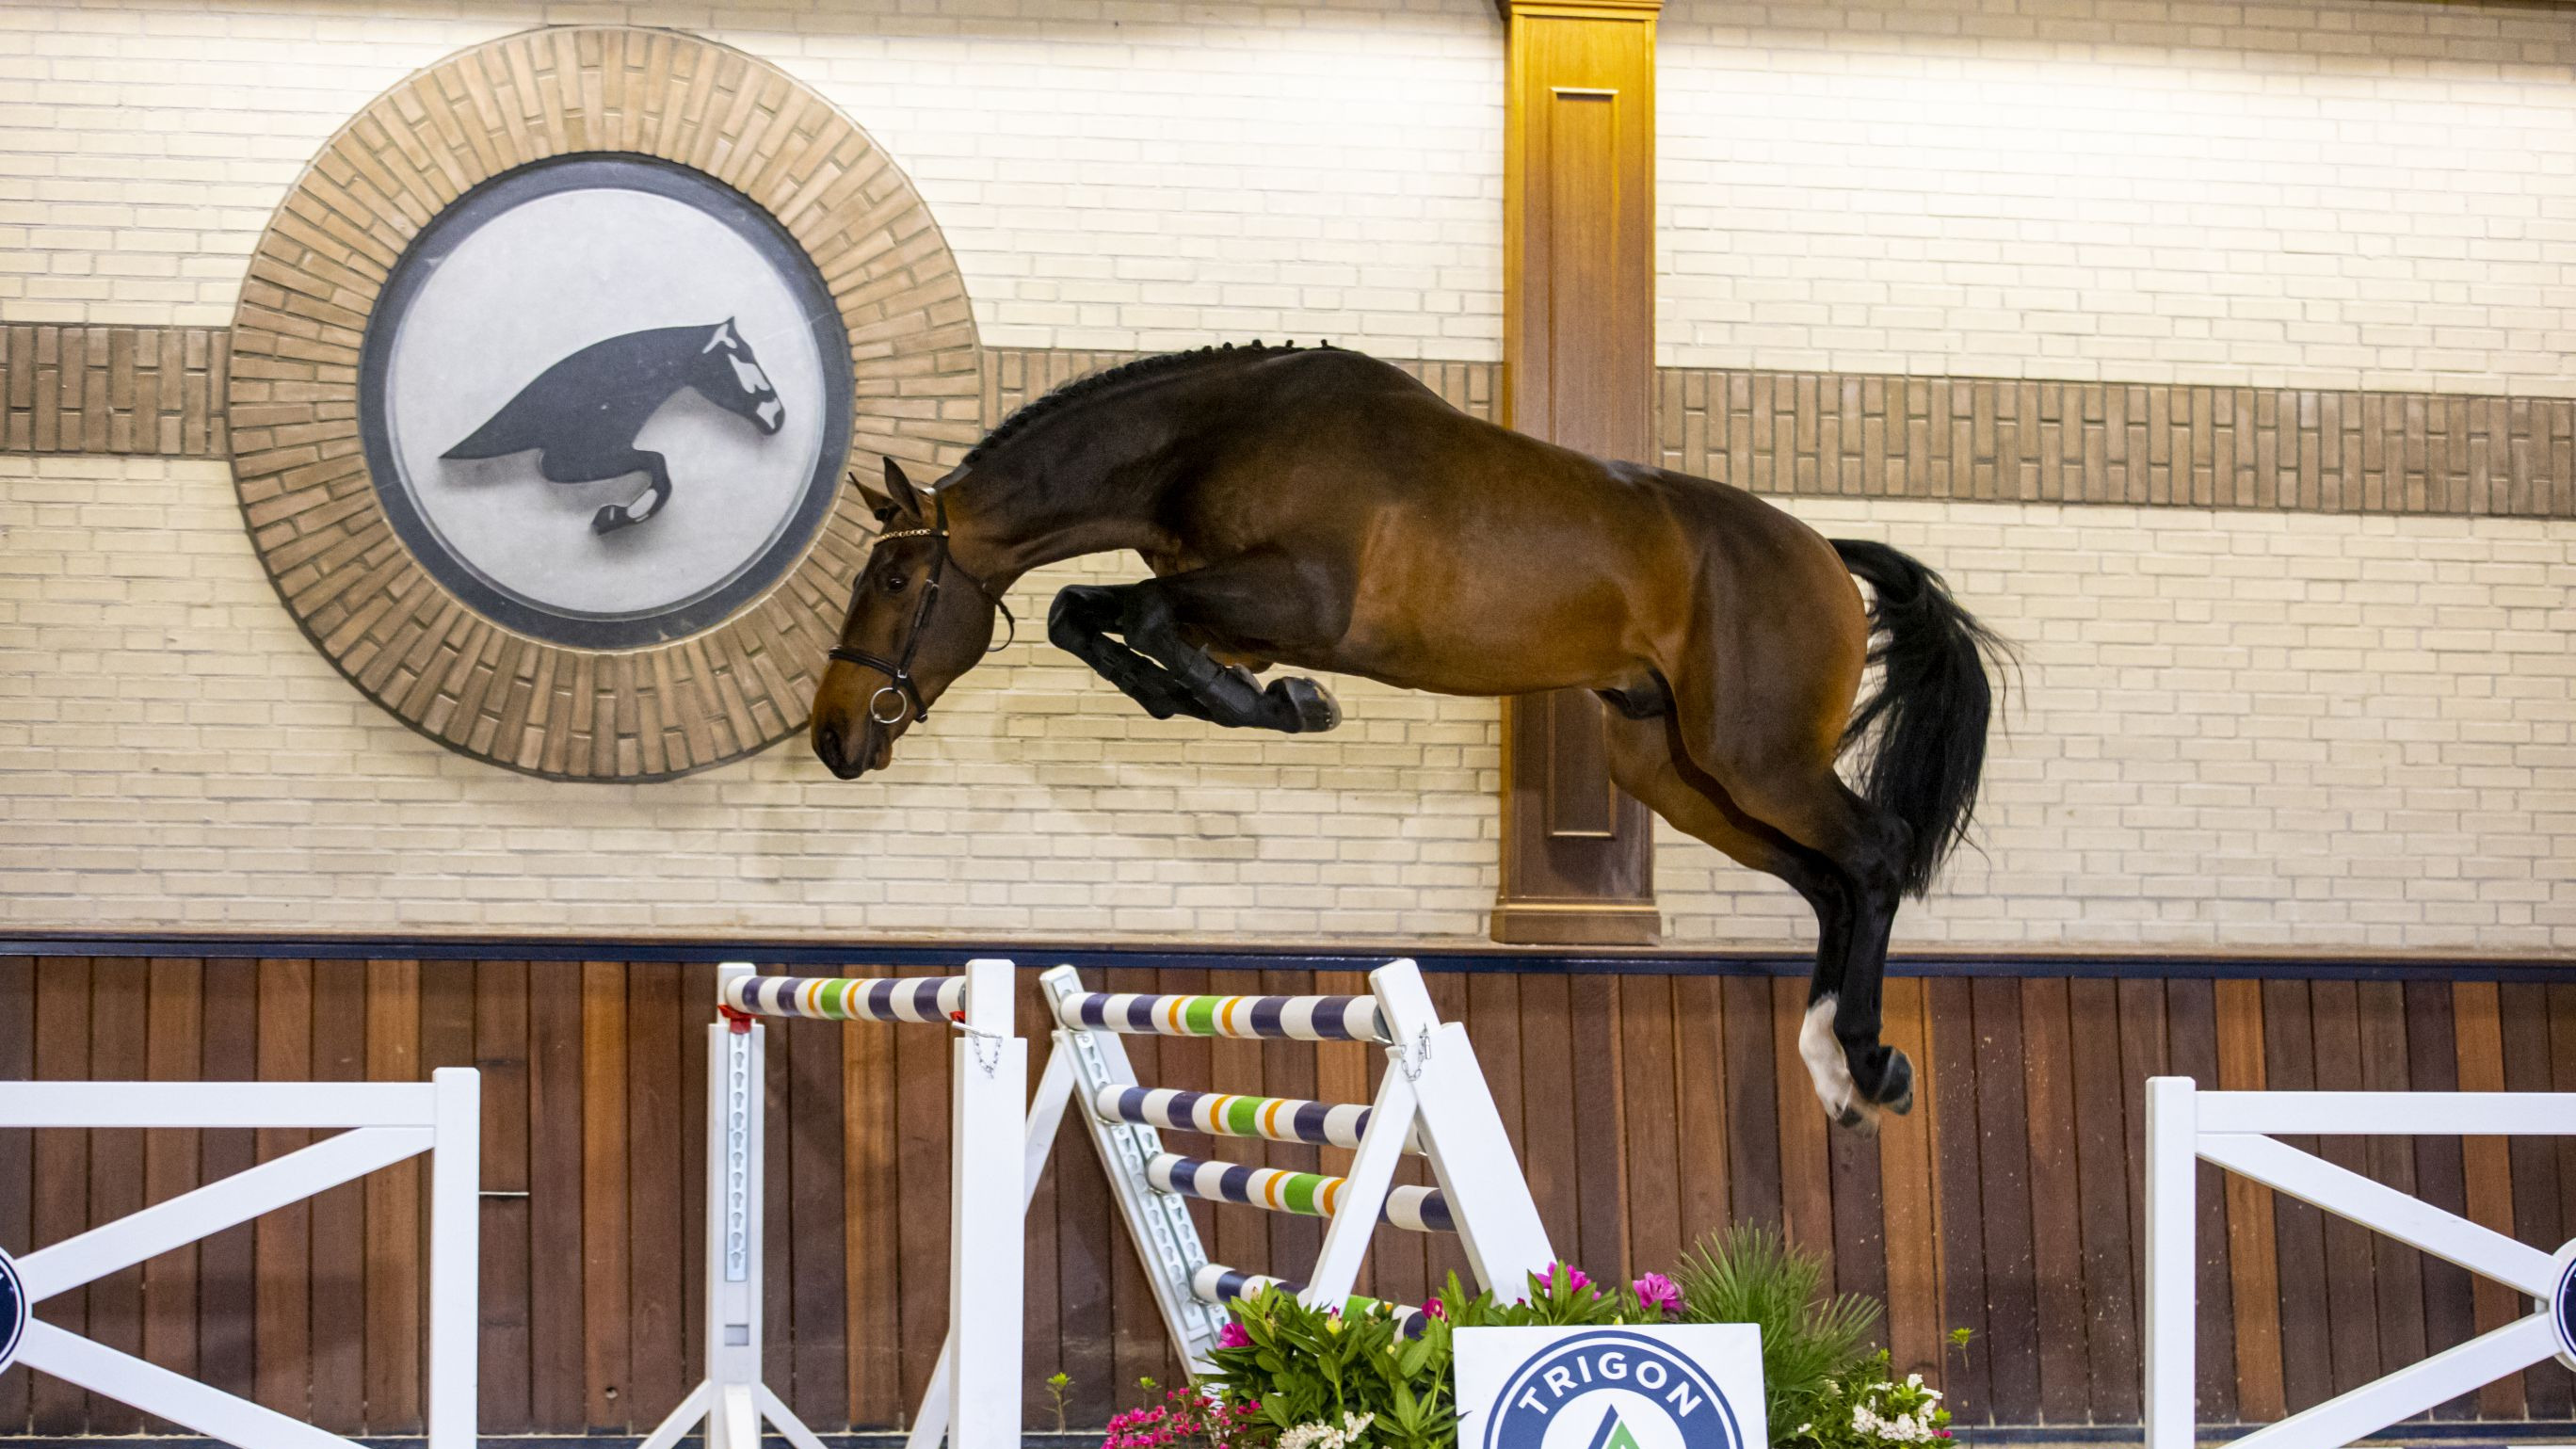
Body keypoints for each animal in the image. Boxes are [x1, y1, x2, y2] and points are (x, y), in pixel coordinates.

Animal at [443, 318, 784, 534]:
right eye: (741, 359)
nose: (777, 416)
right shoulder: (564, 462)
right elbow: (657, 461)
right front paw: (618, 515)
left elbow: (657, 462)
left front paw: (615, 515)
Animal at [811, 343, 2005, 1134]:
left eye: (895, 580)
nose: (833, 734)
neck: (1208, 442)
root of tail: (1825, 553)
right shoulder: (1231, 612)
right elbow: (1088, 617)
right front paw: (1243, 702)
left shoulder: (1300, 599)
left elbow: (1132, 616)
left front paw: (1292, 706)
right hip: (1678, 772)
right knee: (1828, 882)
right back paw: (1832, 1064)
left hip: (1758, 759)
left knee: (1873, 857)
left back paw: (1868, 1062)